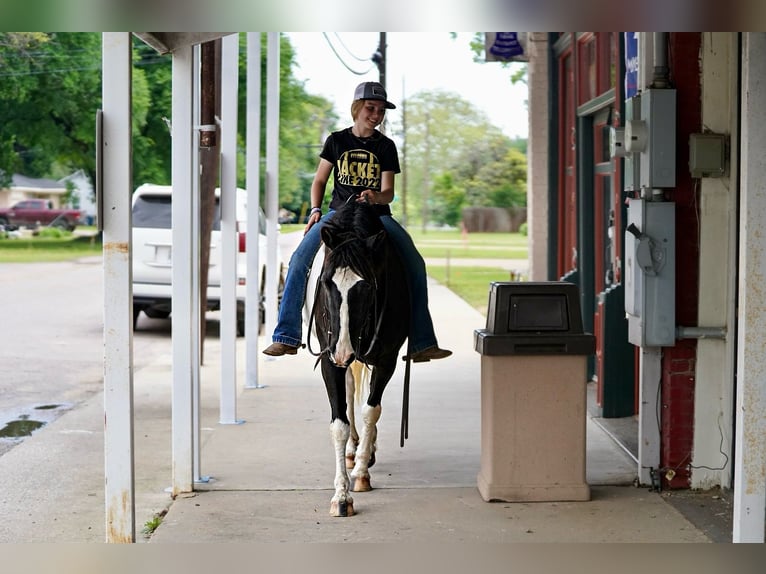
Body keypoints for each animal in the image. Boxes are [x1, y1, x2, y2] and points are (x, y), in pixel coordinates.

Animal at [308, 200, 412, 520]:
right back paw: (353, 451)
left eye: (366, 286)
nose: (343, 350)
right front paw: (341, 497)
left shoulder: (387, 358)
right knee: (351, 388)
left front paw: (362, 475)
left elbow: (371, 411)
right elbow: (339, 423)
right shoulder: (329, 359)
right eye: (326, 282)